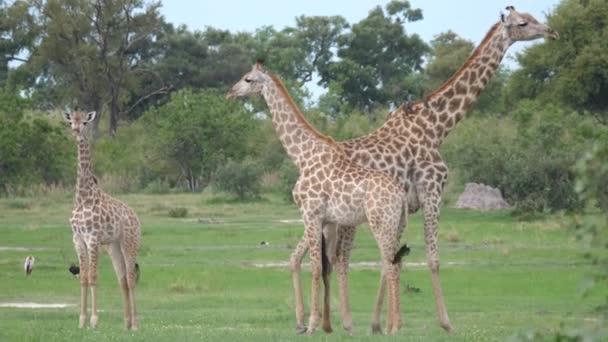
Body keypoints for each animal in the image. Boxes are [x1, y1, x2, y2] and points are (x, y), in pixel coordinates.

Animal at [62, 109, 141, 328]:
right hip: (113, 246)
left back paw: (136, 324)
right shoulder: (77, 239)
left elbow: (94, 276)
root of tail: (136, 218)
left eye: (85, 122)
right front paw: (81, 321)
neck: (82, 197)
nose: (76, 131)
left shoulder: (93, 238)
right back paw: (126, 324)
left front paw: (94, 321)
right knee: (122, 279)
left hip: (129, 242)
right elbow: (83, 277)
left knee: (131, 277)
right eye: (71, 121)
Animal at [228, 62, 408, 336]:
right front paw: (325, 324)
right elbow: (324, 266)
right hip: (396, 224)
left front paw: (311, 325)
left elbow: (314, 267)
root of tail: (401, 195)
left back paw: (395, 327)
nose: (230, 92)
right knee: (394, 264)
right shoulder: (327, 220)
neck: (302, 156)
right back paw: (394, 325)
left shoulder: (310, 214)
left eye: (248, 79)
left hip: (381, 223)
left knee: (392, 265)